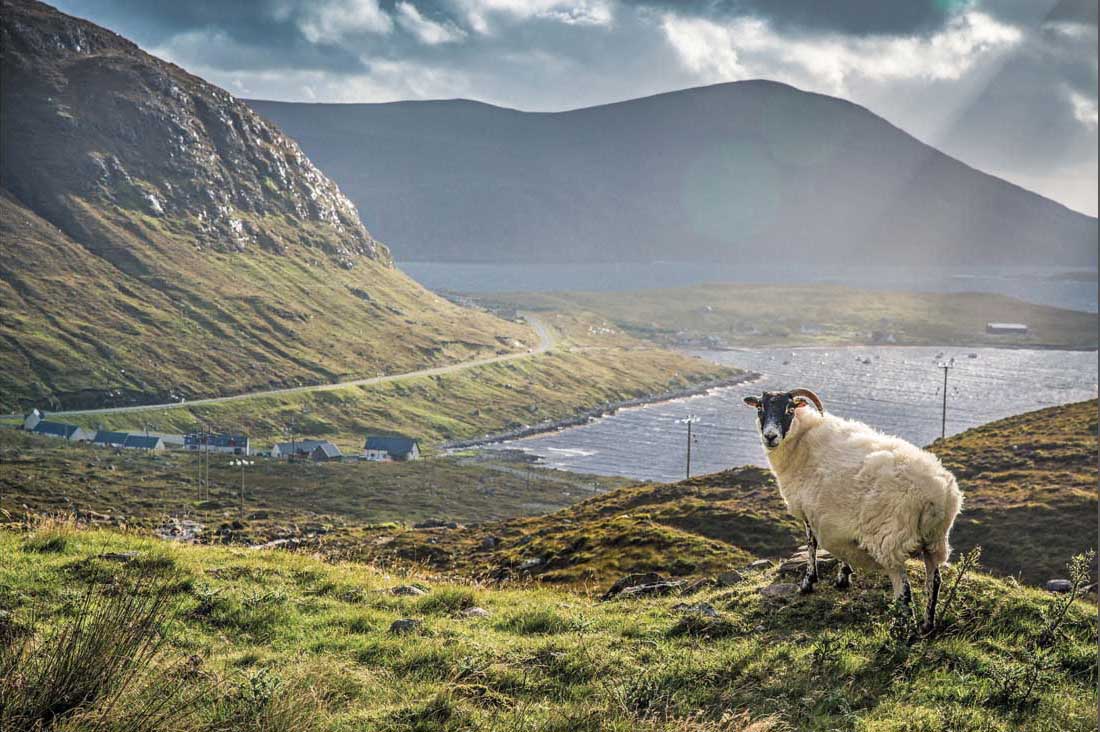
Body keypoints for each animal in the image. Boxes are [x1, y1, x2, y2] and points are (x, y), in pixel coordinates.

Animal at [743, 385, 959, 629]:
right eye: (760, 408)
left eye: (789, 409)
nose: (770, 436)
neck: (800, 441)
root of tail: (937, 494)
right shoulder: (835, 515)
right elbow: (842, 549)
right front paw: (843, 576)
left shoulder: (810, 512)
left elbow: (811, 545)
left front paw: (808, 582)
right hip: (935, 542)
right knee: (934, 581)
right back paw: (926, 626)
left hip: (889, 540)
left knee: (904, 591)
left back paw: (902, 630)